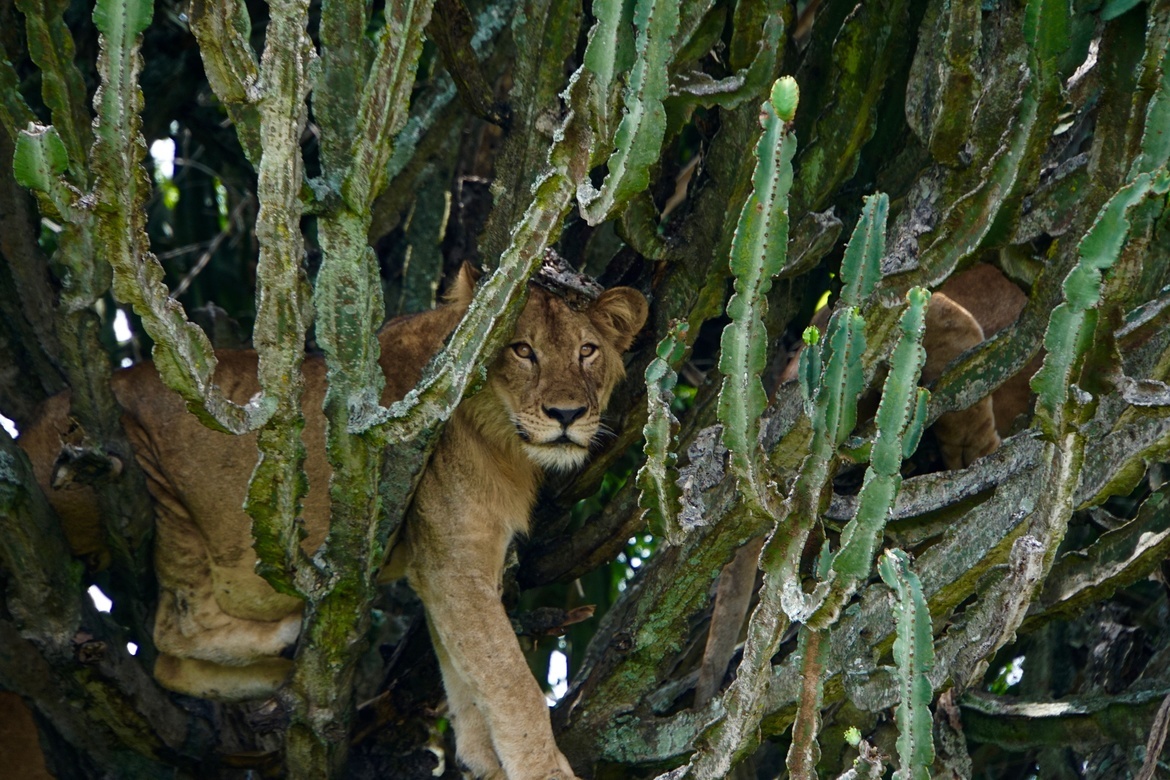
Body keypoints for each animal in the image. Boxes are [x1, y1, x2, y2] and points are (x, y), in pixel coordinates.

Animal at [19, 264, 648, 780]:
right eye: (522, 350)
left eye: (588, 351)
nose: (567, 414)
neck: (501, 434)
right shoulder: (455, 561)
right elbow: (509, 680)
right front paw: (544, 771)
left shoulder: (451, 561)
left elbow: (465, 668)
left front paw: (480, 759)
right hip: (130, 467)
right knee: (173, 639)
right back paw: (289, 644)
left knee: (168, 660)